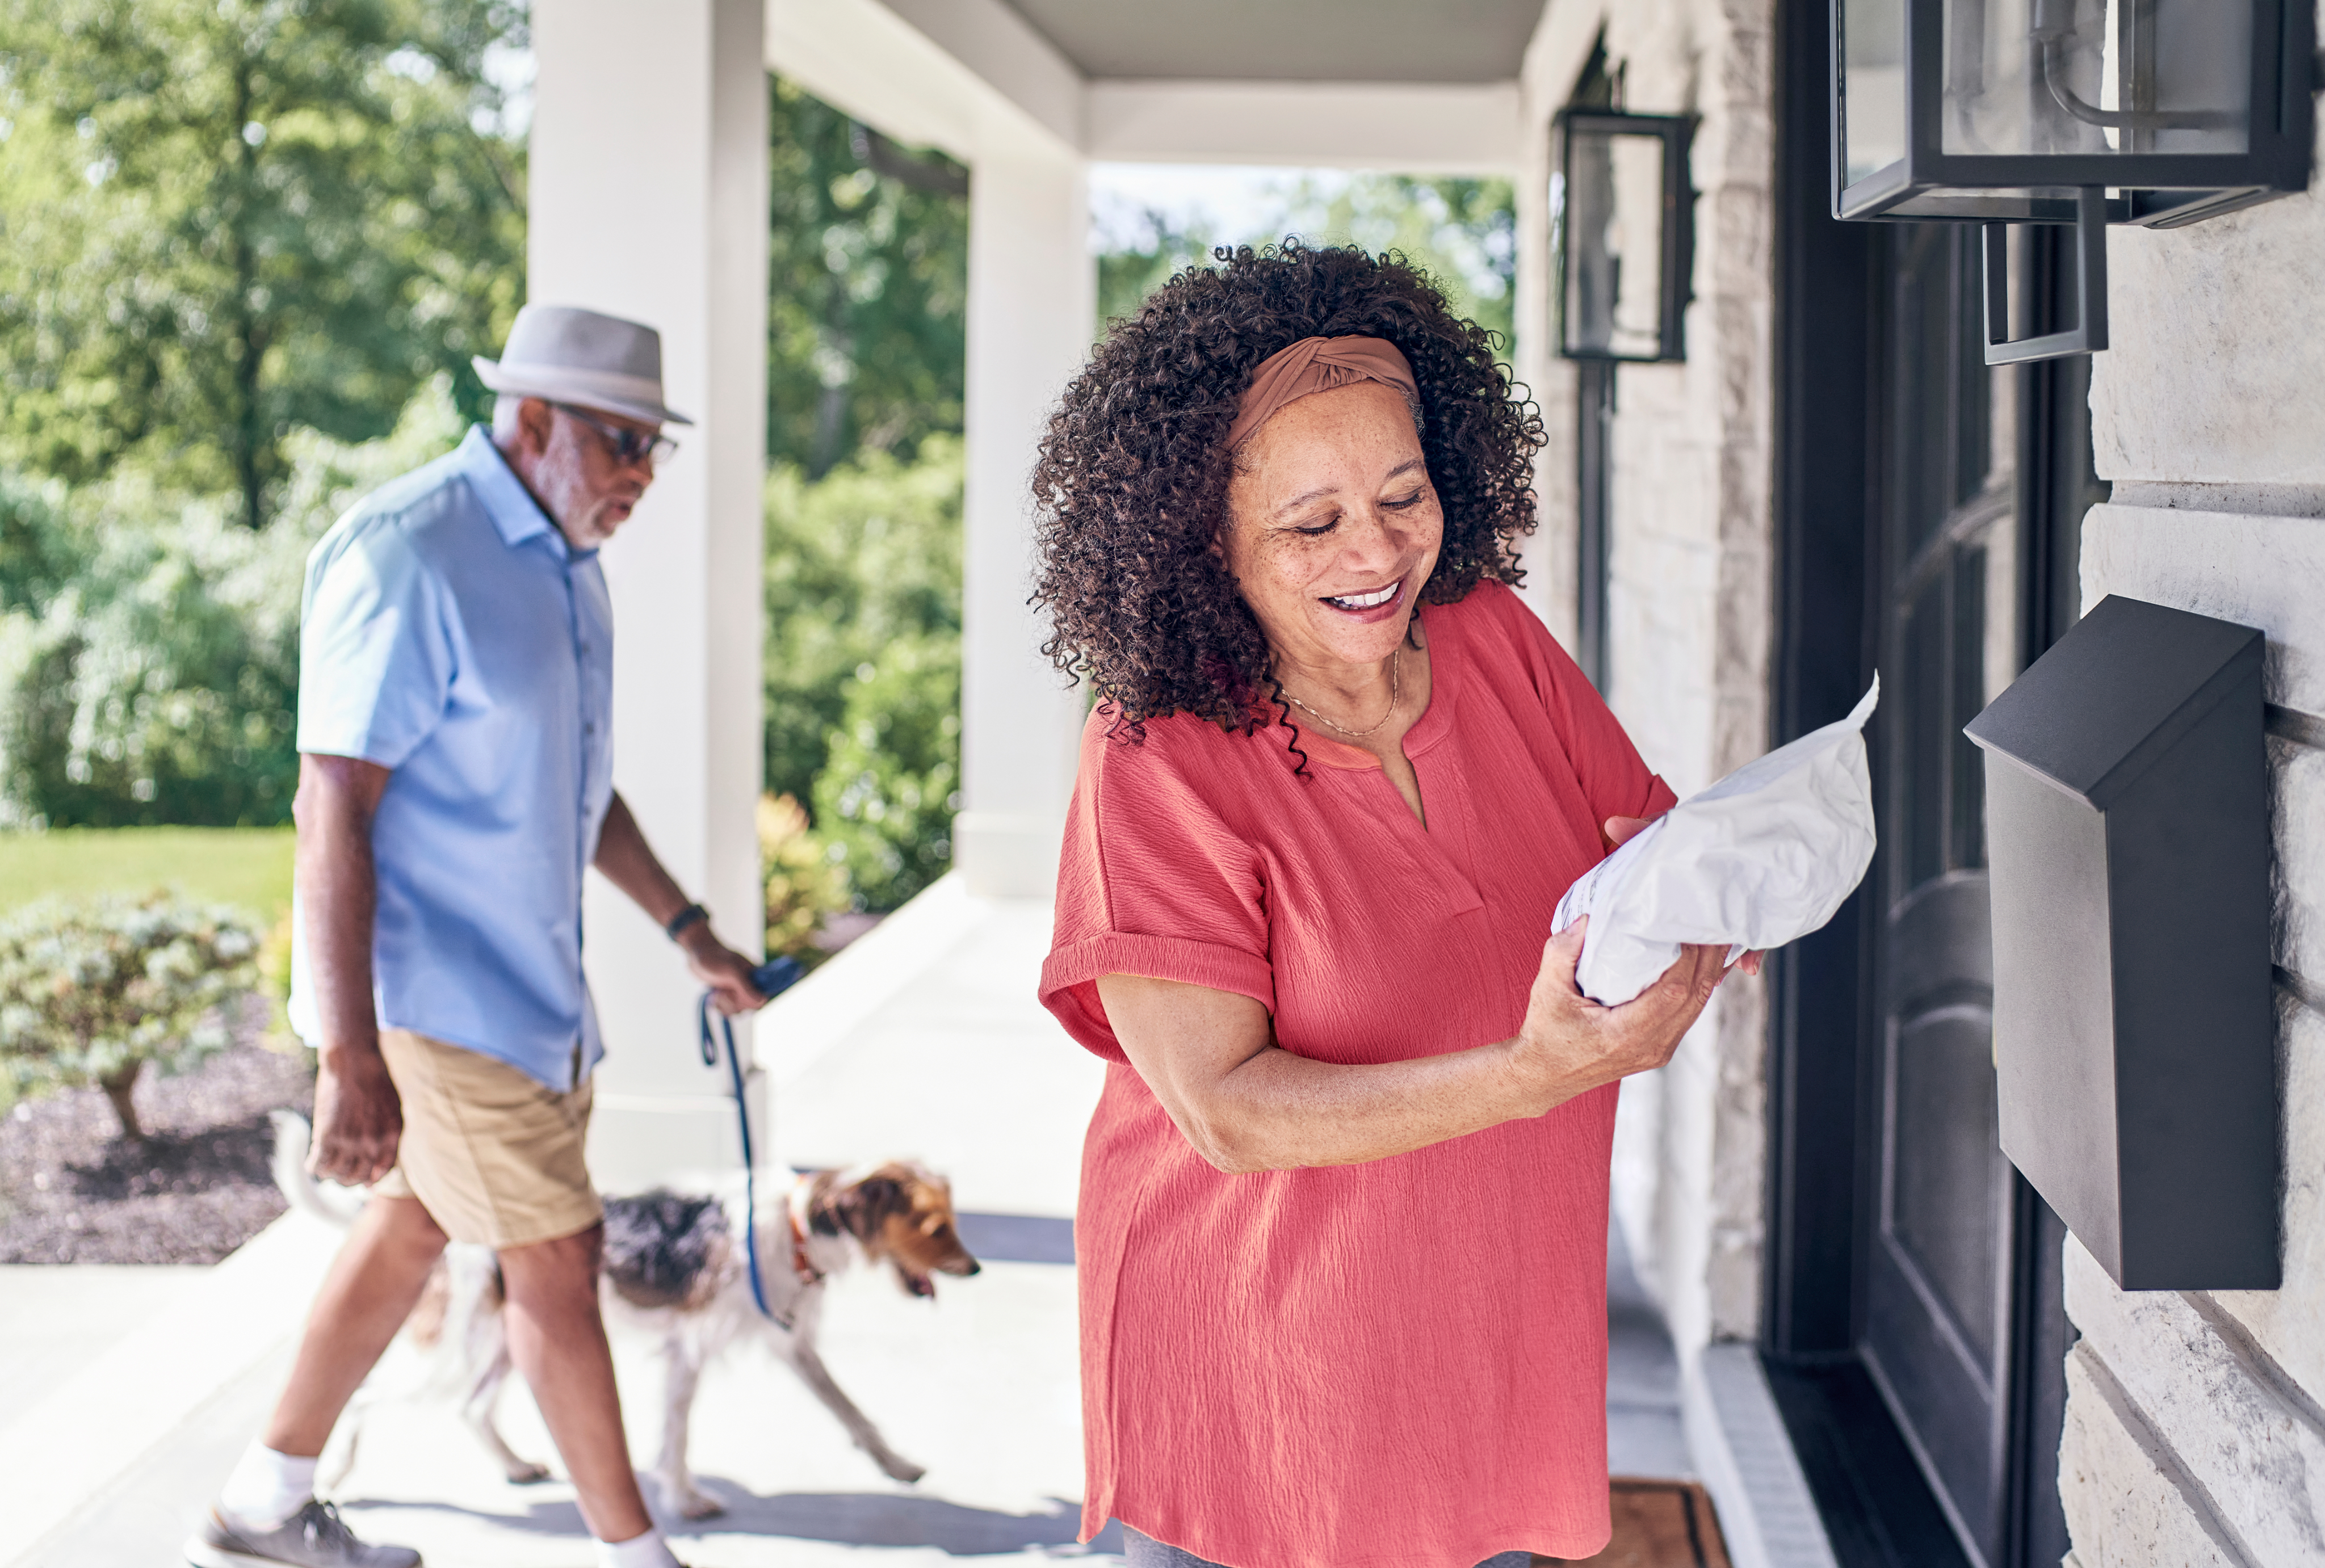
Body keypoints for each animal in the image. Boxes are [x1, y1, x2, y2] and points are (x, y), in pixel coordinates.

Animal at [272, 1110, 981, 1514]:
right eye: (934, 1228)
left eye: (952, 1220)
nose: (975, 1270)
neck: (799, 1228)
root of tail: (455, 1229)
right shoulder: (689, 1350)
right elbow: (677, 1437)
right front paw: (686, 1501)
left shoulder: (791, 1346)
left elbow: (851, 1411)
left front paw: (897, 1466)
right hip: (448, 1354)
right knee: (365, 1393)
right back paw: (332, 1473)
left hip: (505, 1346)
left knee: (472, 1408)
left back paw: (515, 1467)